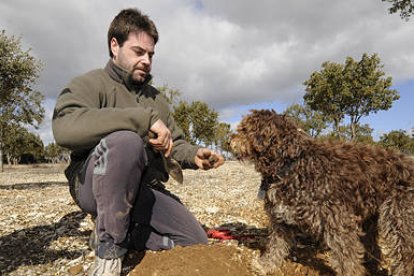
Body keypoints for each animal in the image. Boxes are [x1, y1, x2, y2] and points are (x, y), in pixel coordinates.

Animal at [230, 109, 414, 274]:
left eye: (244, 130)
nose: (228, 141)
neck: (291, 165)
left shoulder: (338, 222)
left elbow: (347, 258)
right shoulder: (280, 219)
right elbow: (276, 246)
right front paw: (265, 265)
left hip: (399, 218)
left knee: (405, 256)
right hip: (370, 218)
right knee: (375, 248)